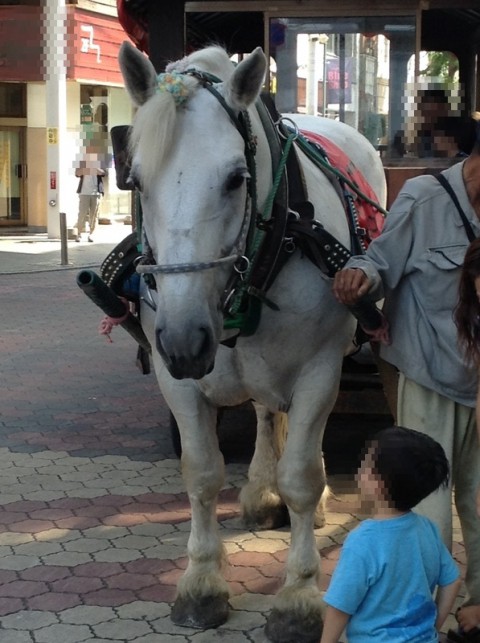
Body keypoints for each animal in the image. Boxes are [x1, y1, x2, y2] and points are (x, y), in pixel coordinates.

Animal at [119, 42, 386, 640]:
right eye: (136, 180)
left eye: (236, 178)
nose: (185, 338)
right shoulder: (176, 380)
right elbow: (201, 472)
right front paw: (201, 582)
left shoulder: (318, 369)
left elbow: (303, 476)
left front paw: (299, 594)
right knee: (265, 411)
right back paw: (262, 491)